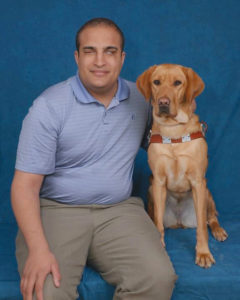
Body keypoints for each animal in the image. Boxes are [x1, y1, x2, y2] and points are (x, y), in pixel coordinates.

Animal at [137, 64, 227, 268]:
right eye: (156, 82)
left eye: (177, 83)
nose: (162, 102)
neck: (174, 130)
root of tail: (180, 222)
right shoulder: (158, 182)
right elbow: (158, 224)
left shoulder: (198, 182)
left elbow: (202, 227)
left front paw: (203, 253)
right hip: (150, 189)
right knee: (155, 217)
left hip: (207, 192)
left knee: (211, 218)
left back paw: (218, 230)